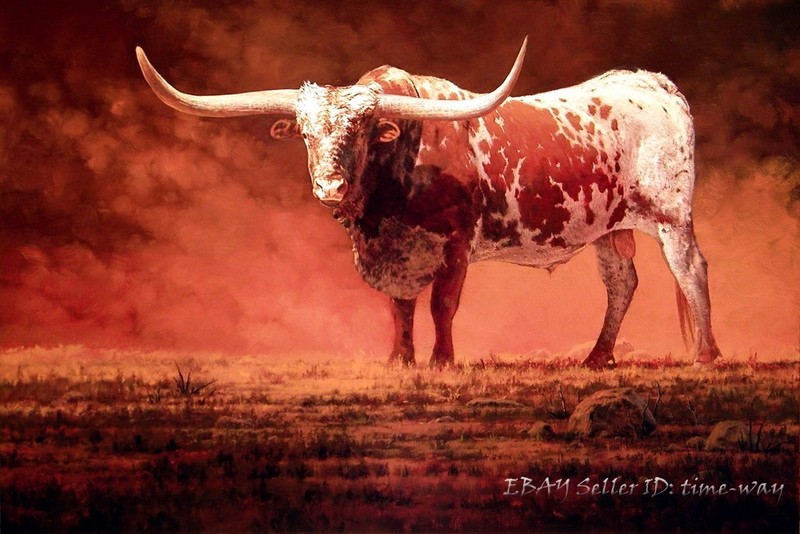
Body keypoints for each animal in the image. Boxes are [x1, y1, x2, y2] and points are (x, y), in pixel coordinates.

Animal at [135, 37, 722, 369]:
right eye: (304, 132)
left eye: (364, 130)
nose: (329, 187)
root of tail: (652, 83)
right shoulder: (397, 253)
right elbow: (400, 306)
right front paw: (400, 359)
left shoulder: (456, 244)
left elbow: (442, 305)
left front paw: (442, 361)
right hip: (608, 228)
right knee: (622, 283)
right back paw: (597, 359)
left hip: (671, 216)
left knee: (691, 270)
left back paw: (706, 355)